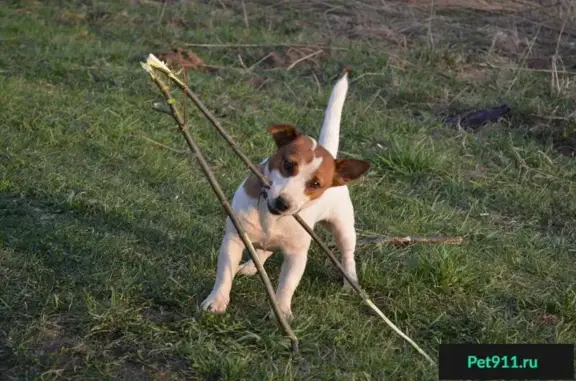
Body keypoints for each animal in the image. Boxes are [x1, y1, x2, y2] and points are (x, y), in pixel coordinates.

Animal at [200, 71, 372, 320]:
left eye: (315, 184)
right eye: (289, 164)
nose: (283, 203)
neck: (273, 217)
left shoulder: (297, 255)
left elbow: (288, 285)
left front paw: (281, 311)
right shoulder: (234, 238)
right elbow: (224, 273)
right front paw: (217, 301)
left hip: (343, 227)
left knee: (348, 254)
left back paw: (351, 282)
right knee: (263, 250)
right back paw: (251, 266)